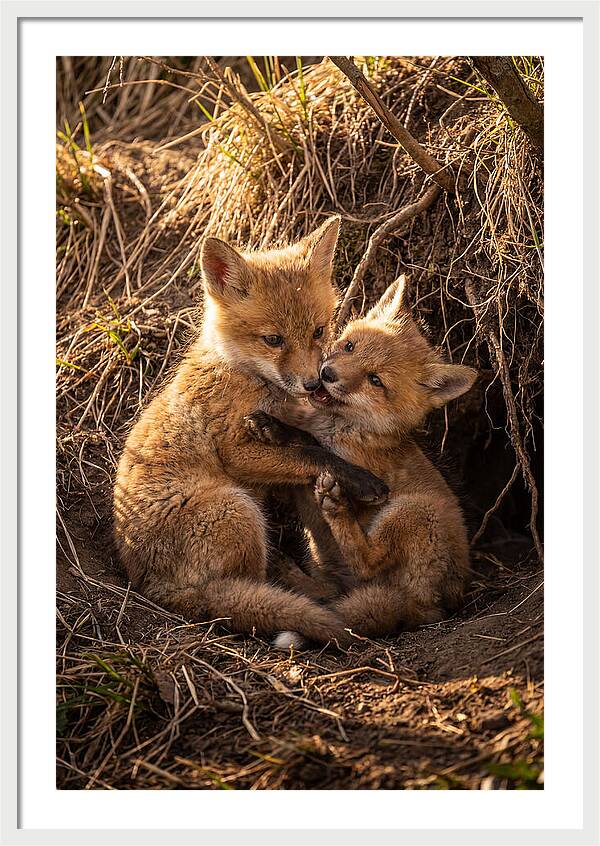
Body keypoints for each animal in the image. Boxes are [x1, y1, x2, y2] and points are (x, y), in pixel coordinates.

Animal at [113, 217, 389, 647]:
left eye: (318, 331)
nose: (313, 384)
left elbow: (305, 441)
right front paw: (361, 480)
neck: (242, 374)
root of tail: (153, 589)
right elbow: (312, 453)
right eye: (273, 340)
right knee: (251, 588)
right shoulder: (236, 451)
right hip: (237, 508)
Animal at [244, 274, 478, 649]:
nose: (327, 373)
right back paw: (290, 572)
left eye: (375, 380)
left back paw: (336, 509)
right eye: (350, 346)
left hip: (413, 511)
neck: (343, 427)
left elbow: (312, 445)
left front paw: (280, 431)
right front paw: (272, 425)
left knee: (368, 561)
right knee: (330, 593)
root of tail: (435, 608)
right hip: (331, 564)